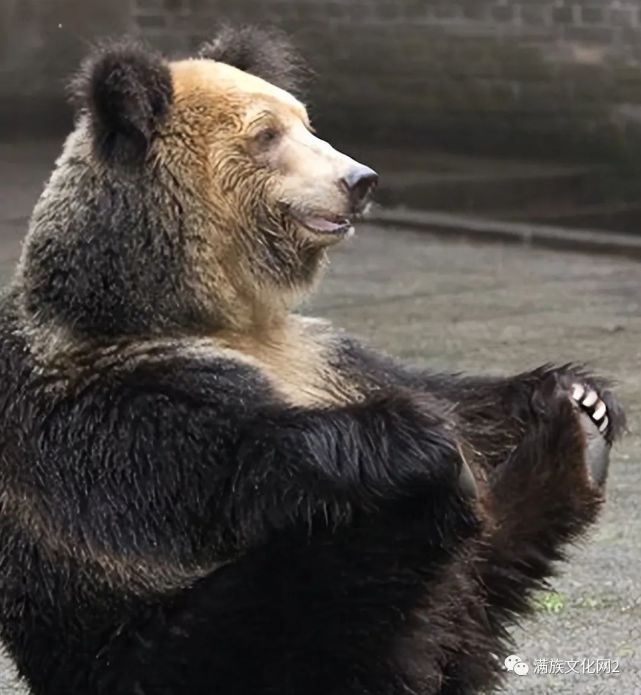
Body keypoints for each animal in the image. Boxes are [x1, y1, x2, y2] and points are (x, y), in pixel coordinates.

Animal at [0, 25, 625, 695]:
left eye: (305, 121)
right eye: (267, 134)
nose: (361, 179)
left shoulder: (316, 353)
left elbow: (450, 397)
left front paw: (579, 392)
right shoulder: (100, 391)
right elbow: (218, 459)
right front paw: (420, 438)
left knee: (491, 569)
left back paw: (575, 443)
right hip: (178, 643)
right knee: (342, 589)